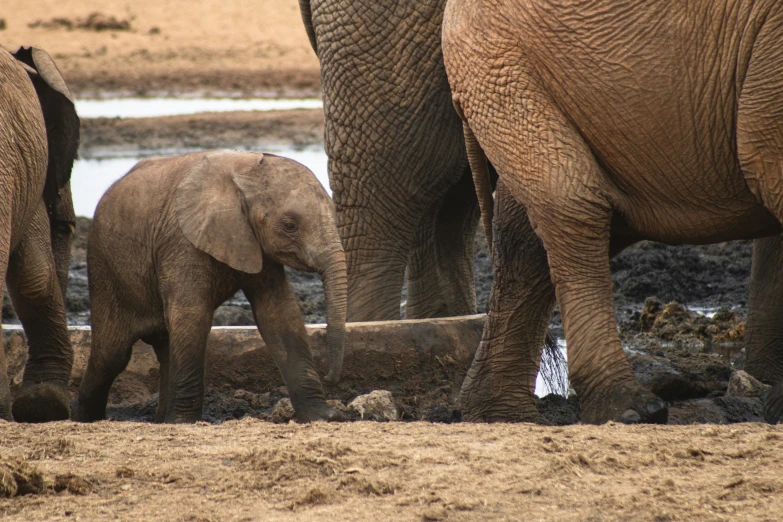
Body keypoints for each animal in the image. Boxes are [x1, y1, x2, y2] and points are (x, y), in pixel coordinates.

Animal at [75, 148, 348, 420]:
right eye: (290, 225)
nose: (330, 377)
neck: (244, 169)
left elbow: (279, 311)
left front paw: (324, 417)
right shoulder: (182, 240)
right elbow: (193, 314)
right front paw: (184, 423)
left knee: (163, 348)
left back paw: (161, 421)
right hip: (105, 268)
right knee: (111, 355)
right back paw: (87, 419)